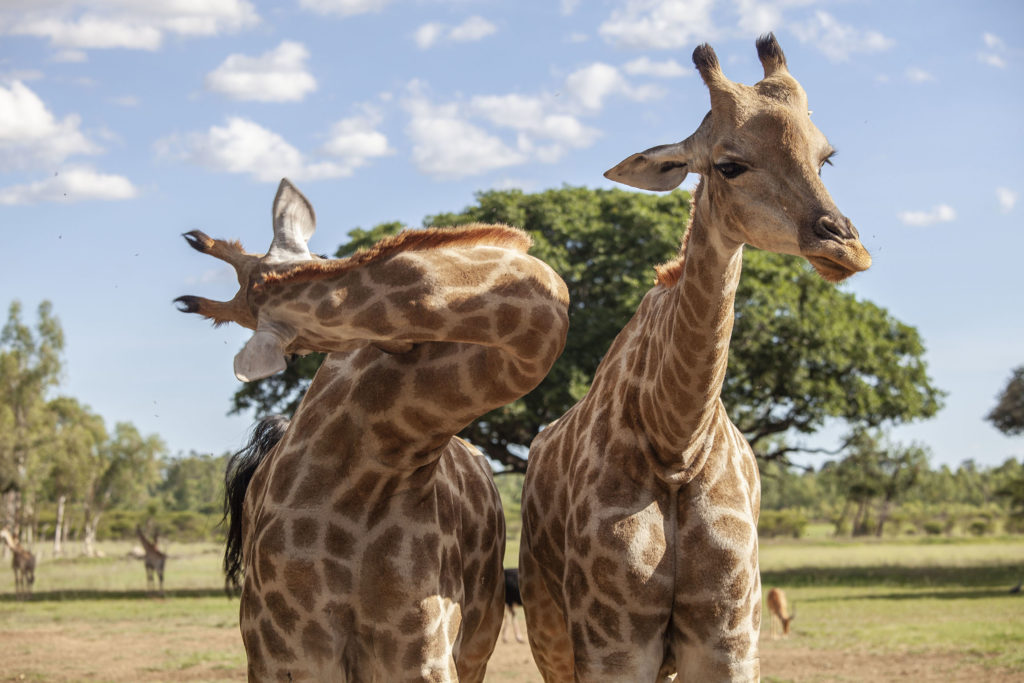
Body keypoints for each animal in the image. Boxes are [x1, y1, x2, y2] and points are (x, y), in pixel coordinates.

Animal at [520, 34, 872, 679]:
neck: (675, 441)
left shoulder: (728, 637)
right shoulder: (613, 645)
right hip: (549, 630)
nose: (846, 248)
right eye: (729, 164)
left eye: (825, 157)